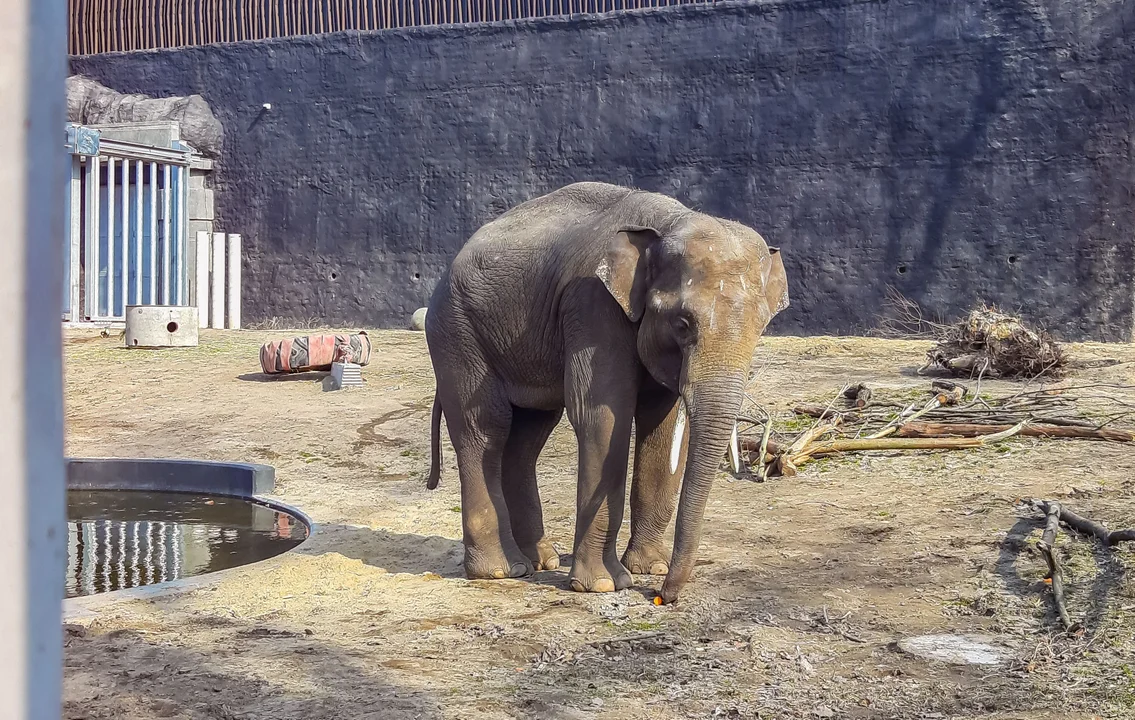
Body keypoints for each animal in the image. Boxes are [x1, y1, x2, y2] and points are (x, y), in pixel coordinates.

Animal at [426, 179, 789, 599]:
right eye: (682, 324)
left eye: (761, 327)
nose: (662, 596)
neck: (670, 221)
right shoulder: (591, 305)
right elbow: (601, 415)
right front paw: (603, 584)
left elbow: (662, 423)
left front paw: (650, 566)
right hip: (456, 333)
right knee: (485, 428)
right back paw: (502, 570)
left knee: (529, 433)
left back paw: (542, 561)